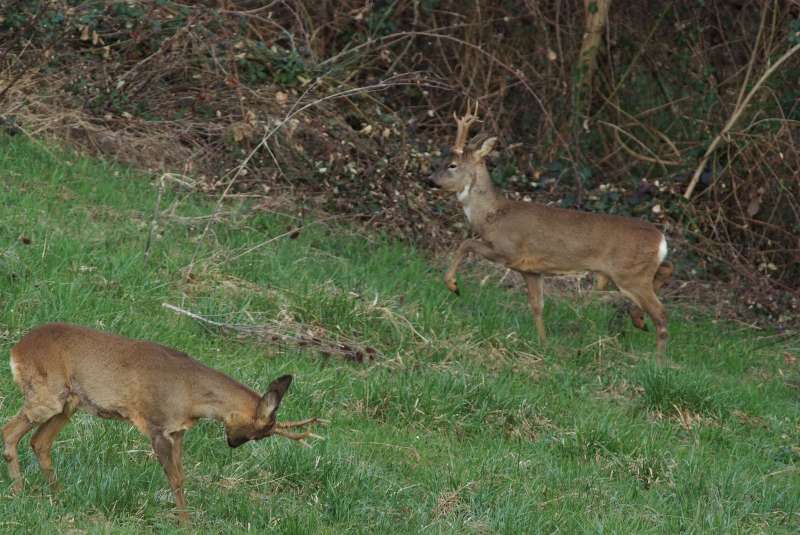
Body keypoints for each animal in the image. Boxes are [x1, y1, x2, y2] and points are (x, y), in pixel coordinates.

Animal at [3, 322, 322, 524]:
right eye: (260, 433)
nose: (232, 443)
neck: (191, 395)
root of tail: (16, 350)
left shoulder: (177, 431)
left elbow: (182, 477)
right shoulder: (156, 426)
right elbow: (175, 479)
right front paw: (186, 525)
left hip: (69, 403)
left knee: (39, 441)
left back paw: (60, 495)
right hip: (47, 395)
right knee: (9, 431)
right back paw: (19, 492)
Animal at [428, 104, 672, 356]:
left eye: (452, 165)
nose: (430, 180)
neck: (492, 216)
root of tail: (661, 240)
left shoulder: (507, 251)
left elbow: (465, 243)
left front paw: (453, 285)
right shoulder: (531, 269)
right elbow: (537, 306)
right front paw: (543, 343)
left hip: (629, 274)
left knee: (662, 314)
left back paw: (657, 358)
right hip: (636, 271)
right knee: (666, 270)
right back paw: (639, 320)